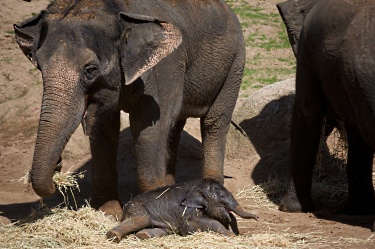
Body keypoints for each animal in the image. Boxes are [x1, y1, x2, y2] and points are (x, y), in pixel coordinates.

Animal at [14, 0, 245, 218]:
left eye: (90, 70)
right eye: (39, 65)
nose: (58, 165)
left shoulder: (164, 67)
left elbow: (149, 127)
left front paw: (152, 208)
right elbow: (102, 129)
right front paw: (109, 212)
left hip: (235, 65)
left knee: (214, 122)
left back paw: (211, 187)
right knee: (174, 127)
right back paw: (171, 186)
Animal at [106, 179, 258, 241]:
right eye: (221, 197)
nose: (257, 217)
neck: (199, 185)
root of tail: (125, 208)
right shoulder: (188, 211)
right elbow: (193, 225)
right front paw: (230, 235)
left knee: (162, 230)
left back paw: (143, 235)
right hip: (138, 209)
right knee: (140, 219)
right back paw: (112, 235)